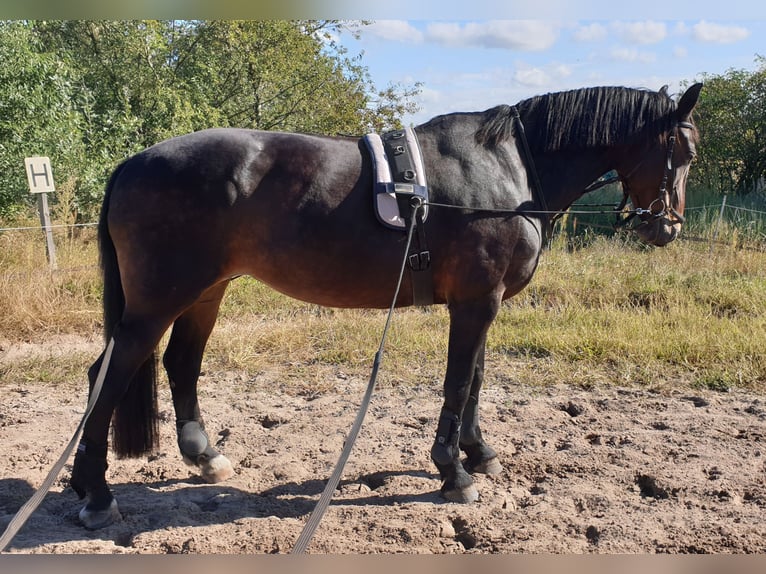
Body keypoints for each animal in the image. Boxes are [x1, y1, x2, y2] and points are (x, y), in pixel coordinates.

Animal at [70, 82, 704, 532]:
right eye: (684, 148)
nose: (668, 226)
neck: (508, 169)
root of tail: (133, 163)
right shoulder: (476, 302)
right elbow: (458, 382)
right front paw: (454, 472)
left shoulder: (483, 302)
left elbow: (476, 380)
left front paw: (479, 453)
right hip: (158, 301)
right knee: (108, 374)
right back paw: (96, 494)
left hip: (206, 292)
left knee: (180, 363)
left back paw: (204, 459)